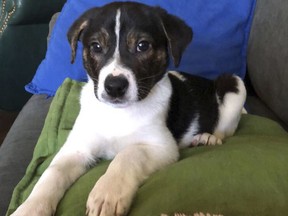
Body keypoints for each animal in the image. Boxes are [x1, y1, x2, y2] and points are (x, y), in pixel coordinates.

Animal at [10, 2, 245, 216]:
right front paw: (30, 208)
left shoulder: (162, 146)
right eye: (96, 47)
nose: (114, 87)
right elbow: (52, 173)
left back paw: (207, 138)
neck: (118, 113)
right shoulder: (77, 149)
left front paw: (107, 193)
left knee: (224, 130)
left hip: (234, 85)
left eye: (142, 46)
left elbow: (128, 154)